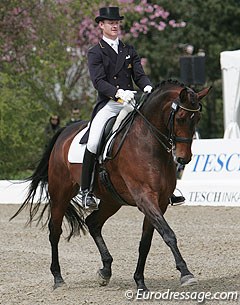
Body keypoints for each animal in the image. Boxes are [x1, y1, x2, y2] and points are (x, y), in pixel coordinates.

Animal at [10, 79, 210, 290]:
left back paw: (105, 270)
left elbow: (145, 242)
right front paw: (185, 273)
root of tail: (64, 131)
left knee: (93, 223)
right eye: (181, 117)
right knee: (55, 231)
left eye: (197, 118)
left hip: (112, 200)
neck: (148, 141)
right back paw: (58, 278)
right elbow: (168, 233)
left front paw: (140, 281)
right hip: (60, 193)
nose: (183, 159)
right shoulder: (145, 198)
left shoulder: (160, 202)